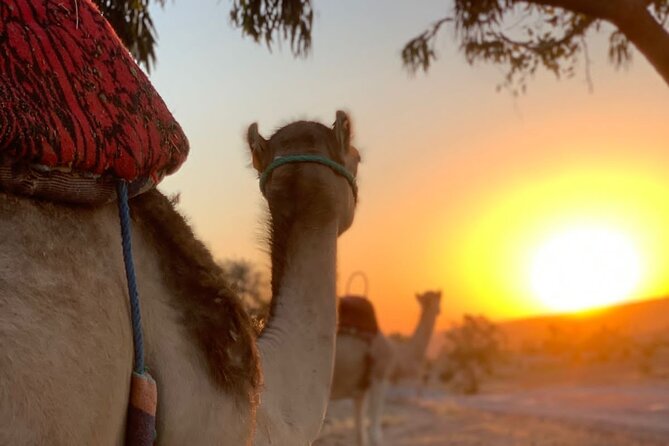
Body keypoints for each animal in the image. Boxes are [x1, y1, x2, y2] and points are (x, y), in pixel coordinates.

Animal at [328, 290, 441, 446]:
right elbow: (375, 433)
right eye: (437, 300)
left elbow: (359, 435)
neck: (398, 354)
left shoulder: (359, 390)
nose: (438, 310)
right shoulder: (380, 376)